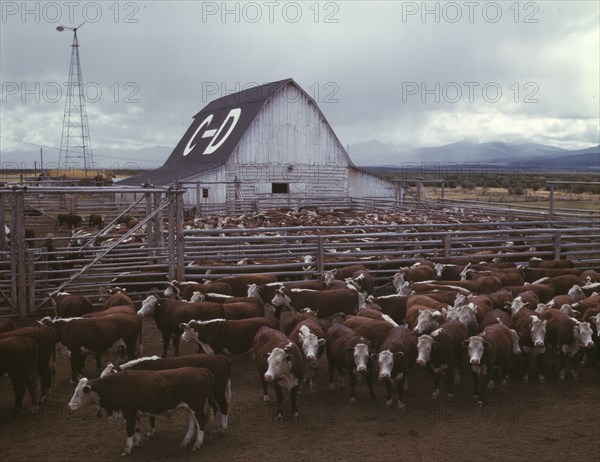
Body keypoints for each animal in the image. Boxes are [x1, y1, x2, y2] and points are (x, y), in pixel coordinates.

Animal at [68, 366, 213, 456]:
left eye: (80, 392)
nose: (69, 406)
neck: (115, 385)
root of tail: (202, 370)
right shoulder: (134, 412)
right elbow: (136, 428)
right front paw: (137, 443)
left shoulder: (128, 410)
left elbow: (129, 430)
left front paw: (128, 449)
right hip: (190, 408)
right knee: (192, 424)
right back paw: (186, 441)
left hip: (196, 406)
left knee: (200, 423)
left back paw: (197, 444)